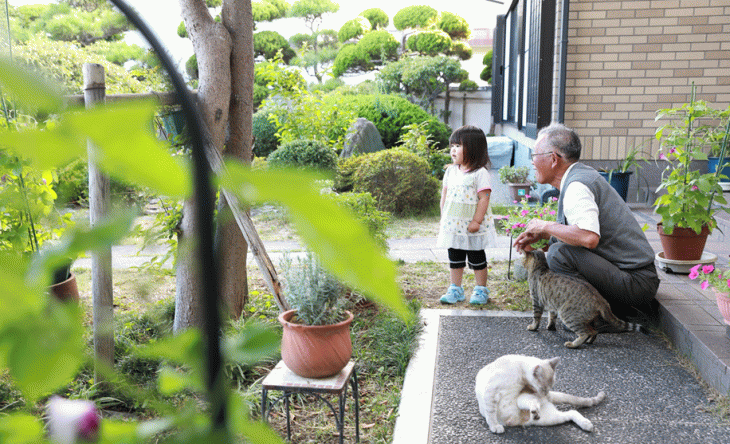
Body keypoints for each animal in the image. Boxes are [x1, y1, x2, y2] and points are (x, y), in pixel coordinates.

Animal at [472, 354, 604, 434]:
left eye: (549, 388)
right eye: (544, 388)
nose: (544, 394)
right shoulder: (491, 393)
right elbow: (491, 413)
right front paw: (495, 426)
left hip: (525, 401)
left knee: (571, 411)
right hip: (547, 418)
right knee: (571, 412)